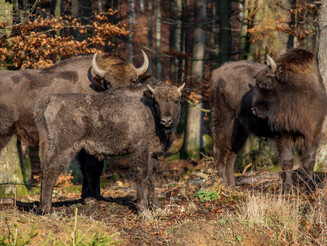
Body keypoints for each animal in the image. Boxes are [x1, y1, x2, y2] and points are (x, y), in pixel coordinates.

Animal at [0, 50, 149, 200]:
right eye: (108, 82)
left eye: (134, 81)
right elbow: (90, 166)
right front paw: (89, 197)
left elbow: (97, 167)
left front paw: (96, 195)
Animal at [35, 82, 187, 213]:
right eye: (156, 102)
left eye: (176, 100)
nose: (166, 121)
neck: (150, 112)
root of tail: (52, 98)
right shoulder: (139, 150)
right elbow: (141, 175)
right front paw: (143, 209)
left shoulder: (152, 153)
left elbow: (151, 177)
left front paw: (157, 208)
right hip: (64, 146)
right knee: (51, 170)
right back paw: (48, 210)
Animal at [211, 47, 326, 190]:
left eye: (266, 84)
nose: (253, 110)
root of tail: (218, 73)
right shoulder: (283, 134)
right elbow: (287, 161)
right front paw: (287, 188)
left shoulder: (314, 133)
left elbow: (309, 161)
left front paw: (310, 187)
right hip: (225, 122)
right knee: (220, 151)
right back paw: (222, 185)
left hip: (240, 131)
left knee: (231, 154)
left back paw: (231, 186)